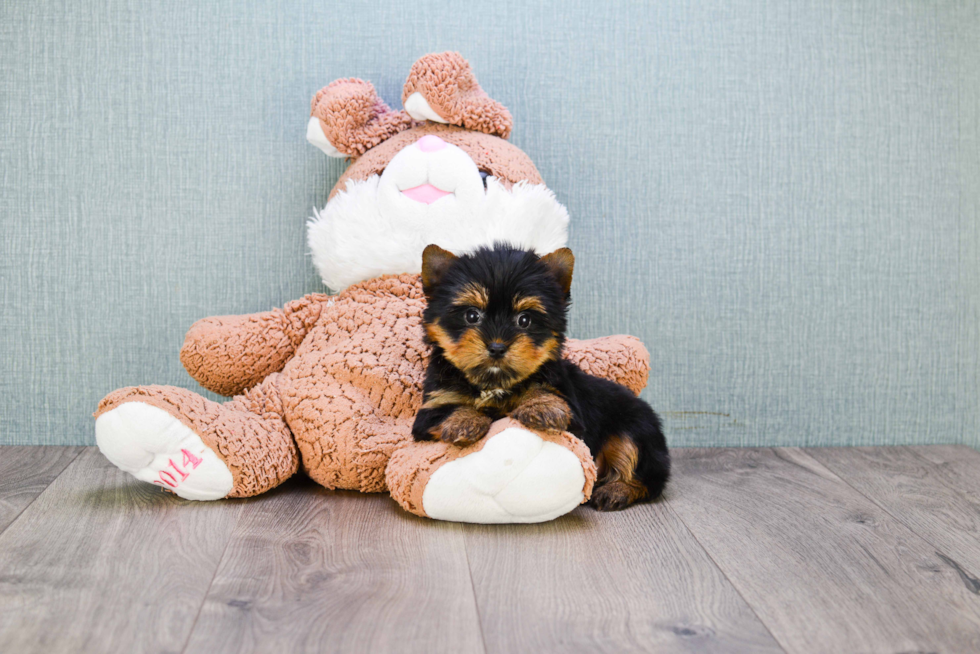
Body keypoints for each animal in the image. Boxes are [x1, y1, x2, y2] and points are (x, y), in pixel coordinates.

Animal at [410, 243, 668, 510]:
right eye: (472, 316)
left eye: (524, 320)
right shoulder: (432, 407)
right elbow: (447, 411)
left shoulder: (570, 410)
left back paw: (617, 490)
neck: (495, 382)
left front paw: (543, 406)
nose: (497, 347)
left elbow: (546, 397)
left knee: (643, 470)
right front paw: (464, 421)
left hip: (635, 425)